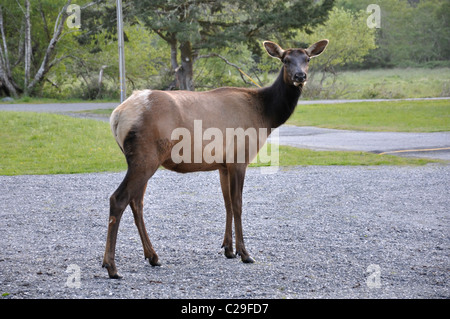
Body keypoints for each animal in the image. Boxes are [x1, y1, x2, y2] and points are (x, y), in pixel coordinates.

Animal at [103, 40, 326, 280]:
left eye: (307, 59)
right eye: (285, 60)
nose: (300, 76)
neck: (266, 116)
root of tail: (117, 116)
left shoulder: (223, 165)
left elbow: (227, 203)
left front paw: (228, 249)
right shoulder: (239, 158)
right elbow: (238, 204)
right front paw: (244, 253)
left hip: (143, 159)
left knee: (137, 202)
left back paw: (153, 256)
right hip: (145, 157)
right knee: (119, 199)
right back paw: (112, 266)